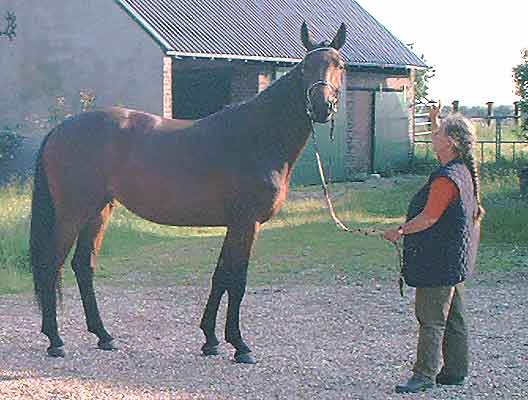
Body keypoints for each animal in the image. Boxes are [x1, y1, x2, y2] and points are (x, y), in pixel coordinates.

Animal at [31, 22, 348, 366]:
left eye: (340, 66)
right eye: (305, 68)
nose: (322, 107)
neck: (257, 136)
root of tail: (60, 129)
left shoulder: (236, 225)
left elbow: (221, 276)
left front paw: (211, 340)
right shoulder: (247, 223)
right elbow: (237, 280)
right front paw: (241, 346)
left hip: (98, 211)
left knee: (83, 266)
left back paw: (104, 336)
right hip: (72, 213)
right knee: (51, 264)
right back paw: (55, 341)